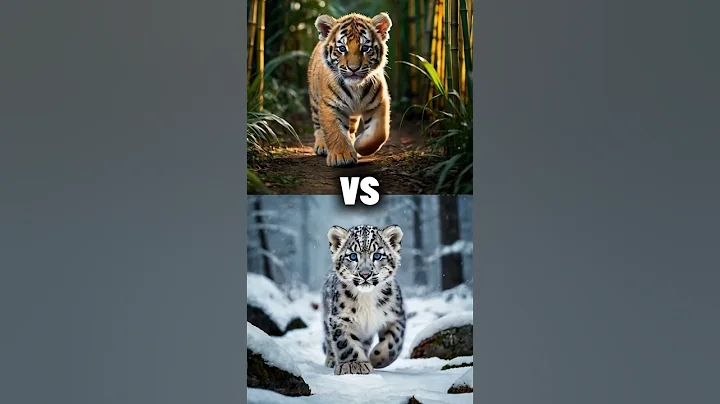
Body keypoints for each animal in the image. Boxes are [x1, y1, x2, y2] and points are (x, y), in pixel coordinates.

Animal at [307, 12, 393, 167]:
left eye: (365, 48)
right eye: (342, 48)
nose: (353, 68)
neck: (355, 88)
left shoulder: (378, 103)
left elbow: (379, 133)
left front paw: (358, 146)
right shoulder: (330, 105)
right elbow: (334, 131)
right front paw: (341, 156)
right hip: (315, 101)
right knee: (318, 126)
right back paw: (322, 145)